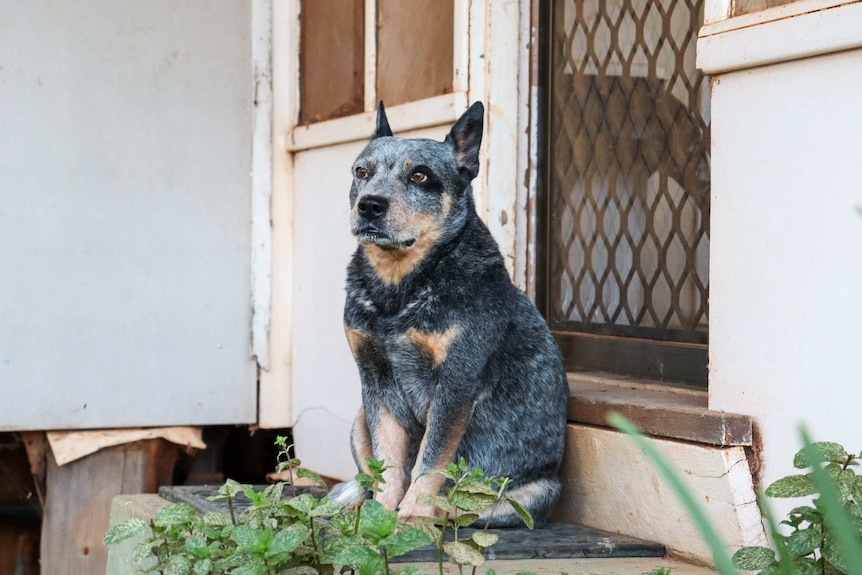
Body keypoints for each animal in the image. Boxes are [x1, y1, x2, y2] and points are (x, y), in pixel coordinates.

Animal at [340, 102, 572, 528]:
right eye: (362, 171)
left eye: (420, 174)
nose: (369, 204)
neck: (399, 291)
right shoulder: (374, 379)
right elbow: (387, 462)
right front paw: (381, 515)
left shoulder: (455, 384)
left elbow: (429, 461)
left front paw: (411, 516)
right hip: (357, 418)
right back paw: (357, 507)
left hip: (535, 492)